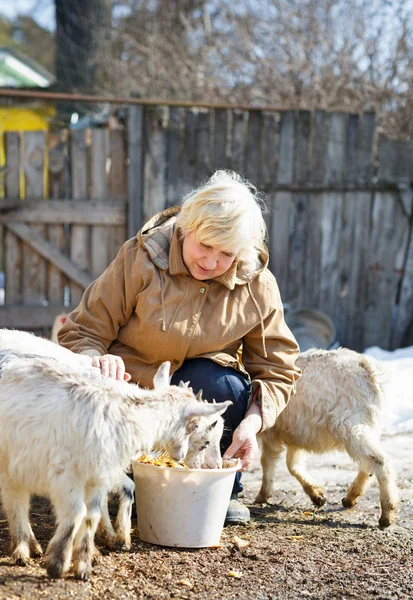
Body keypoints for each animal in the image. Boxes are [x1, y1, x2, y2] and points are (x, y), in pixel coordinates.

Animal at [0, 354, 230, 580]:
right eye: (196, 428)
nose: (181, 456)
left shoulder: (99, 475)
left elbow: (92, 514)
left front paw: (87, 561)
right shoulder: (67, 473)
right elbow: (77, 512)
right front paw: (58, 562)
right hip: (12, 460)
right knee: (16, 502)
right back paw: (22, 550)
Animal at [256, 350, 398, 528]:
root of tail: (366, 367)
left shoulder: (271, 430)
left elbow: (267, 461)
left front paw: (262, 495)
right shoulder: (296, 432)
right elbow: (293, 464)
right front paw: (317, 495)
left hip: (349, 425)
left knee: (379, 460)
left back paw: (387, 514)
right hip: (368, 426)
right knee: (368, 462)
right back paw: (350, 498)